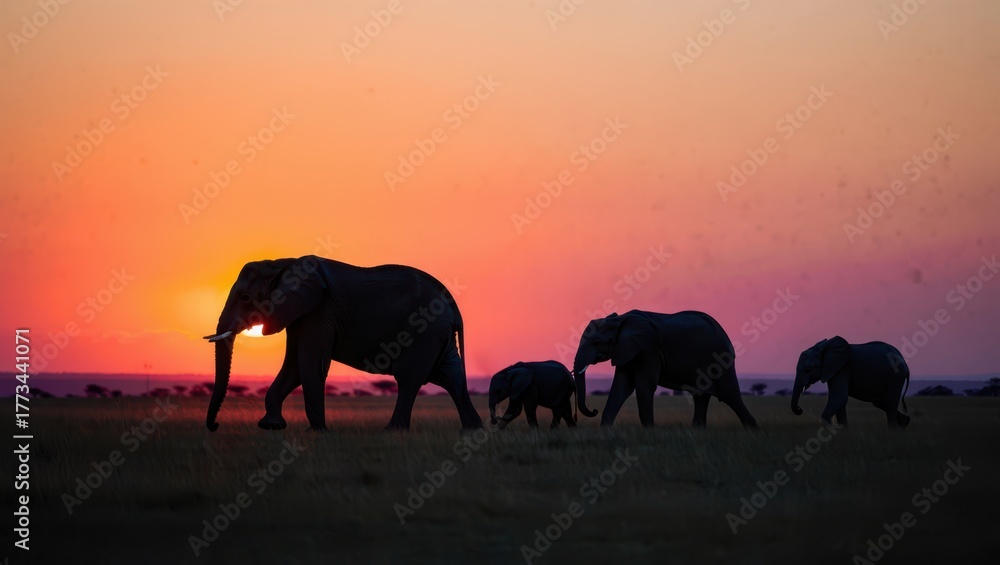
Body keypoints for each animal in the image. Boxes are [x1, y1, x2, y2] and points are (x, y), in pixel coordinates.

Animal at [203, 255, 482, 432]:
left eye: (245, 297)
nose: (214, 426)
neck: (281, 264)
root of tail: (452, 305)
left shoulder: (319, 311)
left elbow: (309, 365)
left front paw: (317, 432)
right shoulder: (300, 313)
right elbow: (294, 367)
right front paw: (272, 427)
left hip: (423, 332)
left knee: (409, 378)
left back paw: (392, 432)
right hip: (437, 335)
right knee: (450, 376)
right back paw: (472, 431)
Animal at [572, 310, 758, 428]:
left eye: (596, 342)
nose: (593, 410)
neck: (620, 320)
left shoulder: (648, 349)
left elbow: (643, 385)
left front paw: (649, 431)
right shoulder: (626, 350)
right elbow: (621, 386)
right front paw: (605, 431)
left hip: (720, 358)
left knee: (730, 394)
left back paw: (753, 431)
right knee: (701, 395)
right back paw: (696, 431)